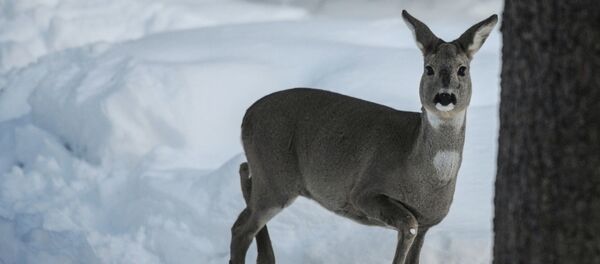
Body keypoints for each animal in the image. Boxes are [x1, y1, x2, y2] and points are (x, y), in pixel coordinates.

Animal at [230, 10, 496, 264]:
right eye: (428, 68)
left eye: (463, 69)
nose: (444, 97)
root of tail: (246, 116)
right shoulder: (364, 190)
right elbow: (408, 226)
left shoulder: (429, 221)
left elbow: (414, 250)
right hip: (274, 177)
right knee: (242, 229)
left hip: (269, 179)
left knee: (243, 213)